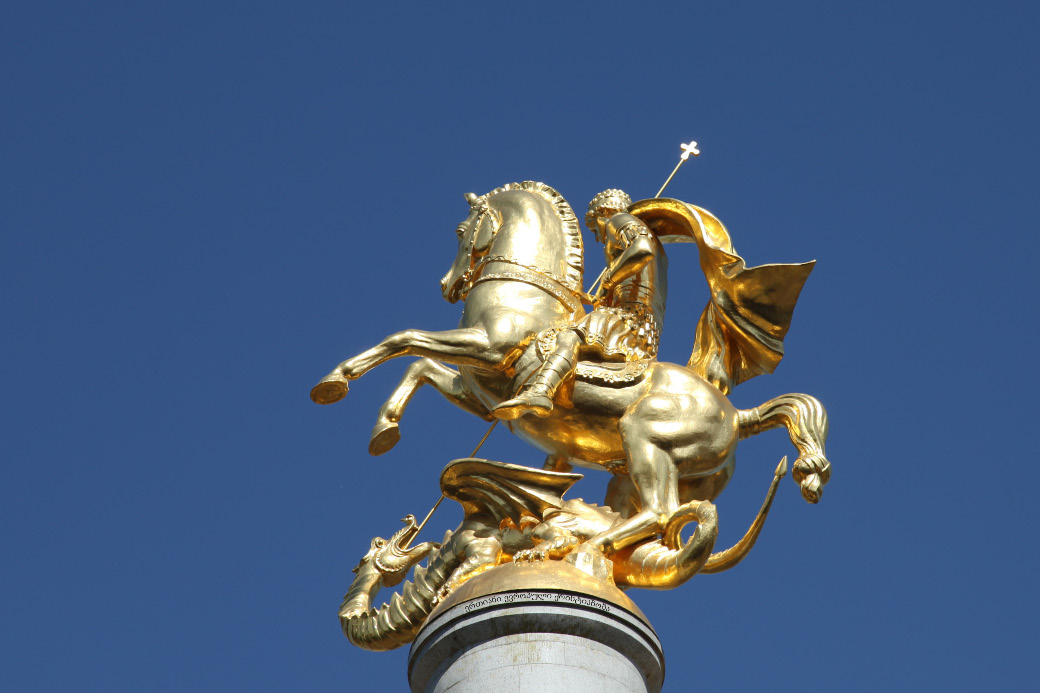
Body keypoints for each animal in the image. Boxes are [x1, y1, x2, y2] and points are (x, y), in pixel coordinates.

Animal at [307, 178, 827, 557]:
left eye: (459, 230)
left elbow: (405, 340)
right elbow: (420, 367)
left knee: (661, 512)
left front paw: (334, 383)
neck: (524, 294)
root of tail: (738, 415)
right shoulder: (482, 390)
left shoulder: (489, 349)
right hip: (661, 472)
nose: (447, 285)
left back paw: (584, 542)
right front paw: (383, 429)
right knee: (654, 516)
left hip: (644, 436)